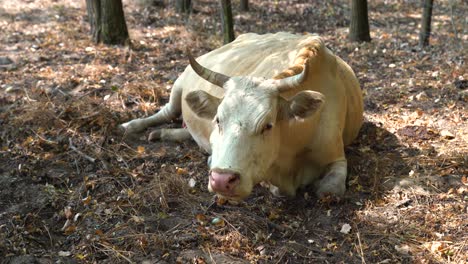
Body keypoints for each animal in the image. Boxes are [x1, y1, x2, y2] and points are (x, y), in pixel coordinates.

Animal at [119, 32, 362, 200]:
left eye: (268, 125)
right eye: (218, 120)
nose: (221, 179)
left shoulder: (336, 155)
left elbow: (330, 190)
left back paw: (162, 134)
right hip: (179, 84)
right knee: (166, 111)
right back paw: (132, 125)